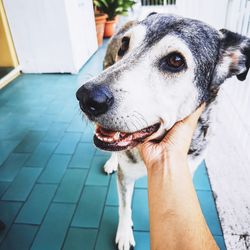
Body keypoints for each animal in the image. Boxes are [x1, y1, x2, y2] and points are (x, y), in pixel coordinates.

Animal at [76, 13, 250, 250]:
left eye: (175, 61)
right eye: (125, 44)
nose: (87, 97)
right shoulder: (125, 175)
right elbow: (124, 206)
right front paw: (124, 233)